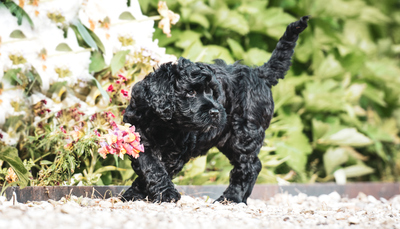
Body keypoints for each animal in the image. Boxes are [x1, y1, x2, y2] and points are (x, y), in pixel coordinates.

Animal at [122, 16, 310, 203]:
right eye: (190, 92)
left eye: (213, 93)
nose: (215, 112)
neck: (163, 124)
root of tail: (258, 73)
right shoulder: (138, 137)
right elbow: (150, 165)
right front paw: (134, 194)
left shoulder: (176, 152)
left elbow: (159, 169)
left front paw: (163, 194)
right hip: (228, 139)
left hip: (245, 133)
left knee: (249, 166)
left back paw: (232, 198)